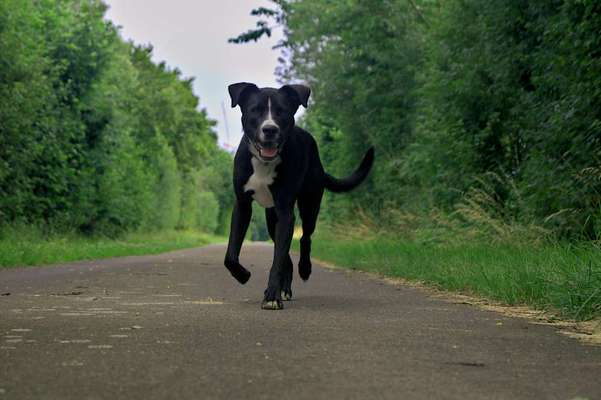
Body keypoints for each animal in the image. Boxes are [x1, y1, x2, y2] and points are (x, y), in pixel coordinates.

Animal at [223, 83, 372, 310]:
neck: (264, 163)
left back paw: (304, 269)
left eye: (282, 111)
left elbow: (277, 260)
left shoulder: (285, 210)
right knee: (285, 254)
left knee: (305, 238)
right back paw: (285, 287)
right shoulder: (242, 205)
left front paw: (271, 297)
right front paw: (243, 275)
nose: (270, 129)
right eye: (255, 110)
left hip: (310, 203)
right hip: (271, 218)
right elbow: (231, 255)